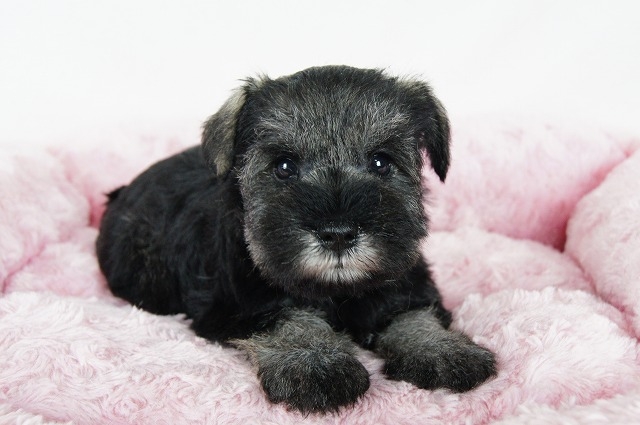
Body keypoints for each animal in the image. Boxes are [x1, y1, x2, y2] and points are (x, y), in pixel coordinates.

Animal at [96, 65, 496, 413]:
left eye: (382, 162)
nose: (338, 234)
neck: (337, 291)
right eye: (284, 166)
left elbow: (413, 315)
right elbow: (291, 319)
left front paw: (442, 349)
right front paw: (315, 364)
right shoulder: (243, 306)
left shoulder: (406, 282)